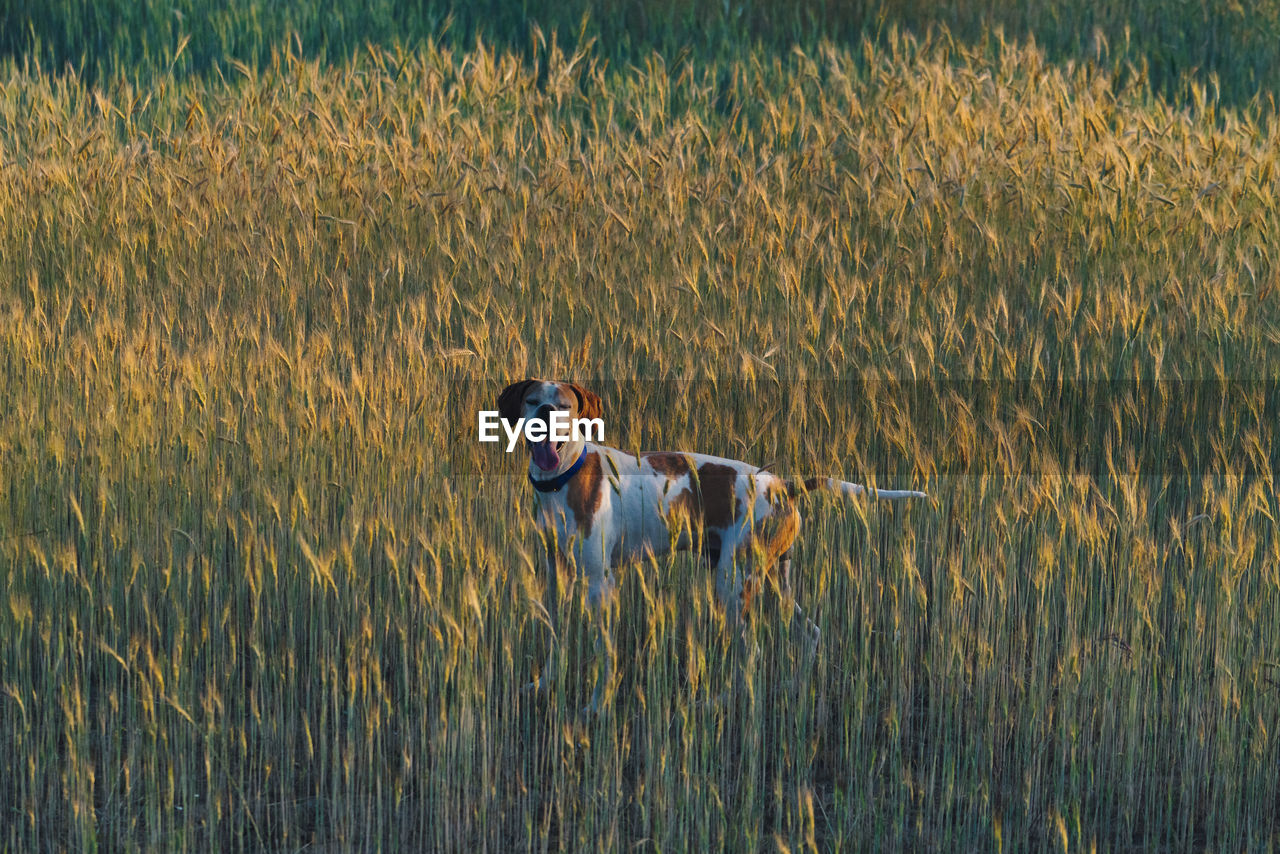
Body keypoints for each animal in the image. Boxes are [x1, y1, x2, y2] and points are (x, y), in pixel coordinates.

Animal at [499, 381, 931, 717]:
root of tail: (783, 485)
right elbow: (555, 638)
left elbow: (606, 655)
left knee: (752, 655)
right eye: (532, 400)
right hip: (772, 582)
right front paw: (545, 685)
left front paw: (596, 706)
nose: (546, 413)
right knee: (810, 633)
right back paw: (792, 689)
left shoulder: (599, 584)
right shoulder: (557, 578)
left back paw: (716, 703)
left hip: (732, 584)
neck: (565, 476)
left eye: (565, 405)